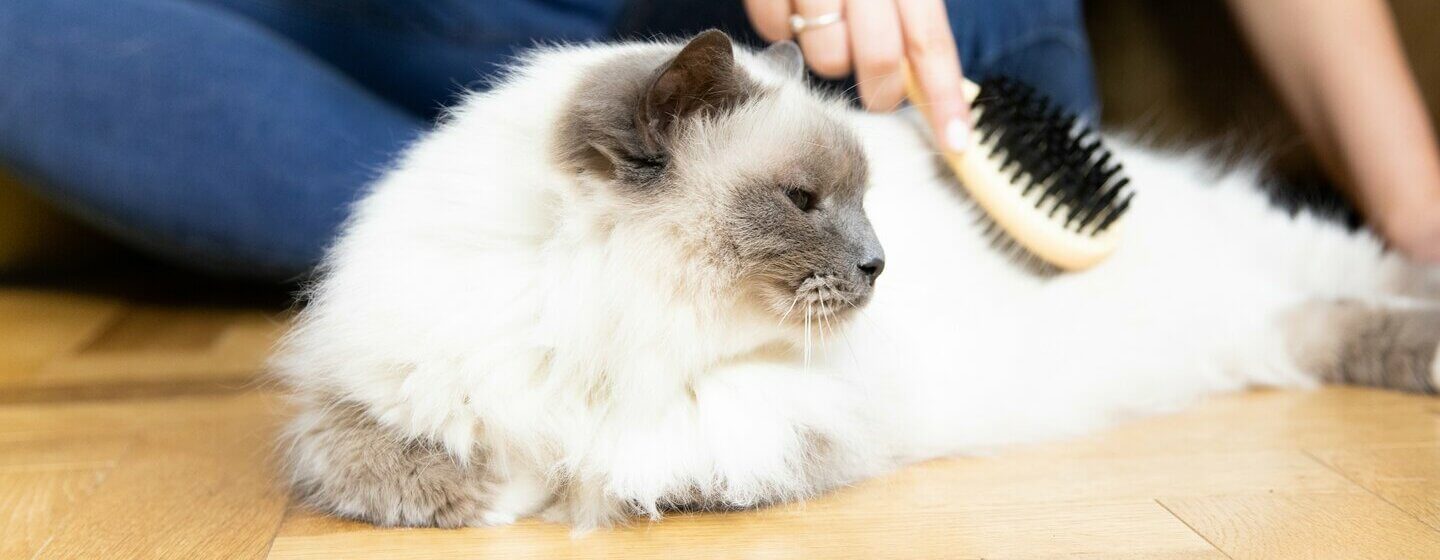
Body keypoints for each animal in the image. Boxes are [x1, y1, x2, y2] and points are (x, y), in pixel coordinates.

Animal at [272, 30, 1440, 526]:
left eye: (864, 200)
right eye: (805, 202)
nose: (881, 264)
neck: (606, 314)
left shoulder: (769, 415)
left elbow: (636, 455)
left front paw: (553, 481)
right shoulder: (363, 398)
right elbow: (391, 461)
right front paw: (493, 490)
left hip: (1290, 265)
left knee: (1385, 280)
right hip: (1264, 333)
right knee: (1332, 326)